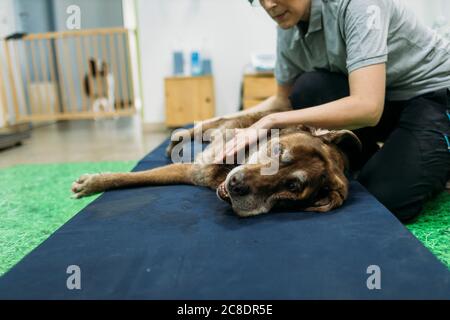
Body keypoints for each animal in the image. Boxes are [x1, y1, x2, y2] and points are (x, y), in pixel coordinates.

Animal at [73, 112, 362, 218]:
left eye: (292, 187)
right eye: (278, 150)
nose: (236, 185)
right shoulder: (196, 168)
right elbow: (128, 177)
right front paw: (92, 183)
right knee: (207, 124)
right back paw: (177, 140)